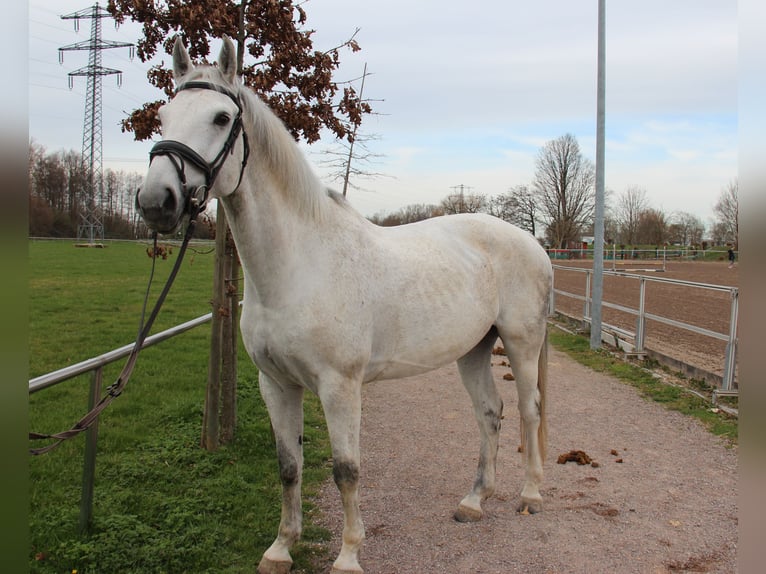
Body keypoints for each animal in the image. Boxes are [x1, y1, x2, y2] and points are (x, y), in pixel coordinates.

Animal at [138, 38, 556, 574]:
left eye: (219, 117)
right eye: (163, 116)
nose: (156, 201)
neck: (299, 266)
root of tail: (532, 244)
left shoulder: (340, 386)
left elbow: (346, 470)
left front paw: (349, 555)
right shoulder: (275, 383)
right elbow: (289, 466)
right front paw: (281, 548)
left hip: (522, 342)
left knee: (529, 410)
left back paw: (531, 495)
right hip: (474, 349)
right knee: (490, 412)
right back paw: (474, 501)